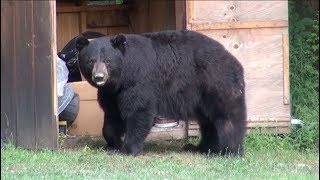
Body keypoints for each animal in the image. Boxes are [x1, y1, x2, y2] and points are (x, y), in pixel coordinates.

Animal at [75, 29, 248, 156]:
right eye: (90, 61)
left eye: (108, 61)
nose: (99, 77)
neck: (123, 77)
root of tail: (234, 61)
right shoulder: (111, 93)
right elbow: (112, 116)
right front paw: (112, 145)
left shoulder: (139, 81)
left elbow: (139, 111)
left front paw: (127, 149)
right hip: (201, 96)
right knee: (207, 121)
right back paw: (202, 148)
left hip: (216, 83)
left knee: (227, 117)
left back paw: (229, 151)